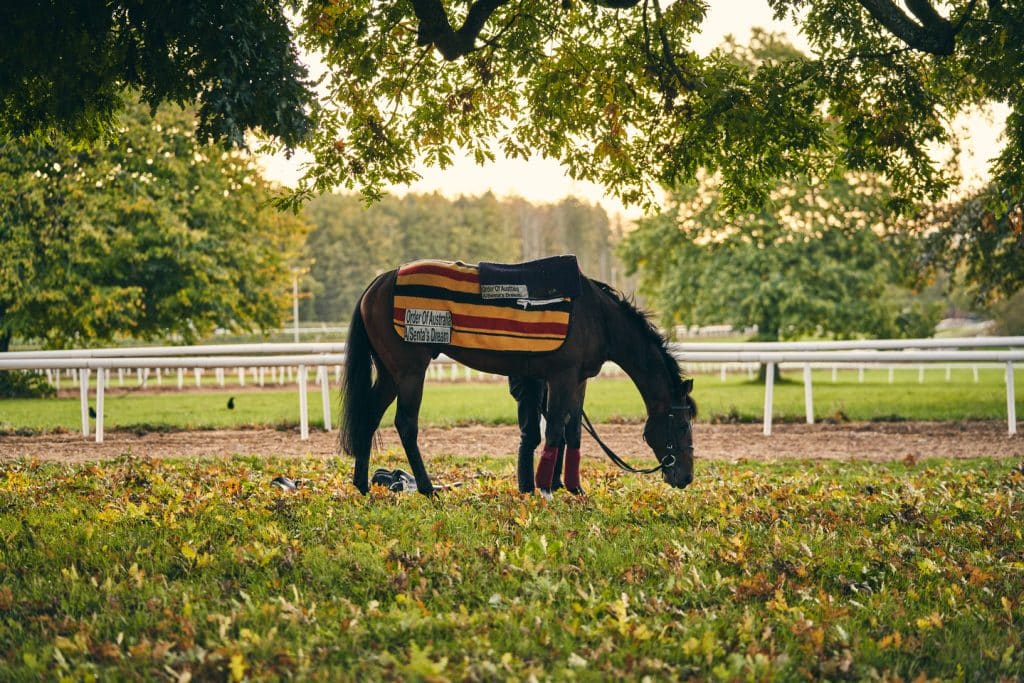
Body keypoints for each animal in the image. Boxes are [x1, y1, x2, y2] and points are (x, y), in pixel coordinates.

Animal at [340, 264, 696, 496]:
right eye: (681, 424)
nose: (686, 477)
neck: (599, 318)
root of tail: (379, 282)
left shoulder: (578, 380)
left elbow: (572, 432)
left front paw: (575, 488)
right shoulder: (562, 376)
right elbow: (555, 430)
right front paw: (546, 490)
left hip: (390, 373)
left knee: (369, 416)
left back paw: (362, 485)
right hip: (411, 371)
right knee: (406, 424)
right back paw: (428, 489)